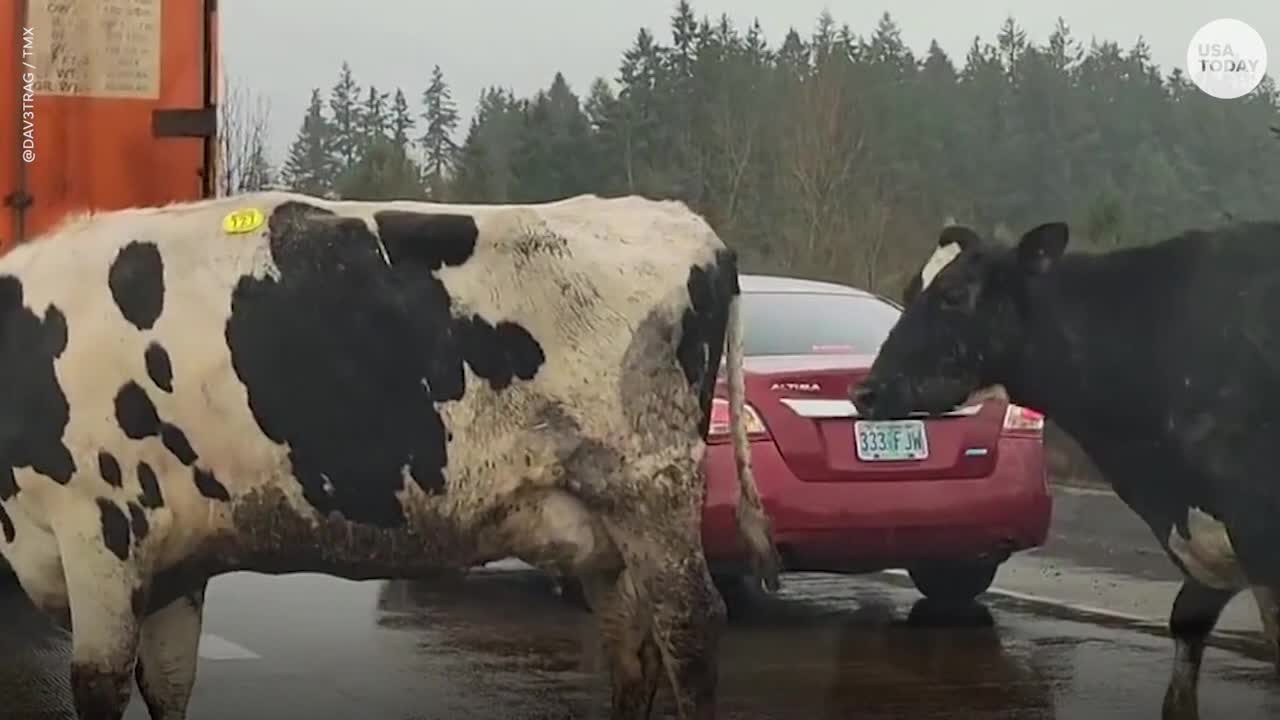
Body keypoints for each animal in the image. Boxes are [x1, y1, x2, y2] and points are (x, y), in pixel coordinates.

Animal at [0, 190, 778, 717]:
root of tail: (681, 220)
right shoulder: (173, 555)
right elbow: (167, 683)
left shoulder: (99, 528)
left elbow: (99, 683)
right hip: (605, 529)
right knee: (631, 644)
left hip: (650, 488)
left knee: (690, 628)